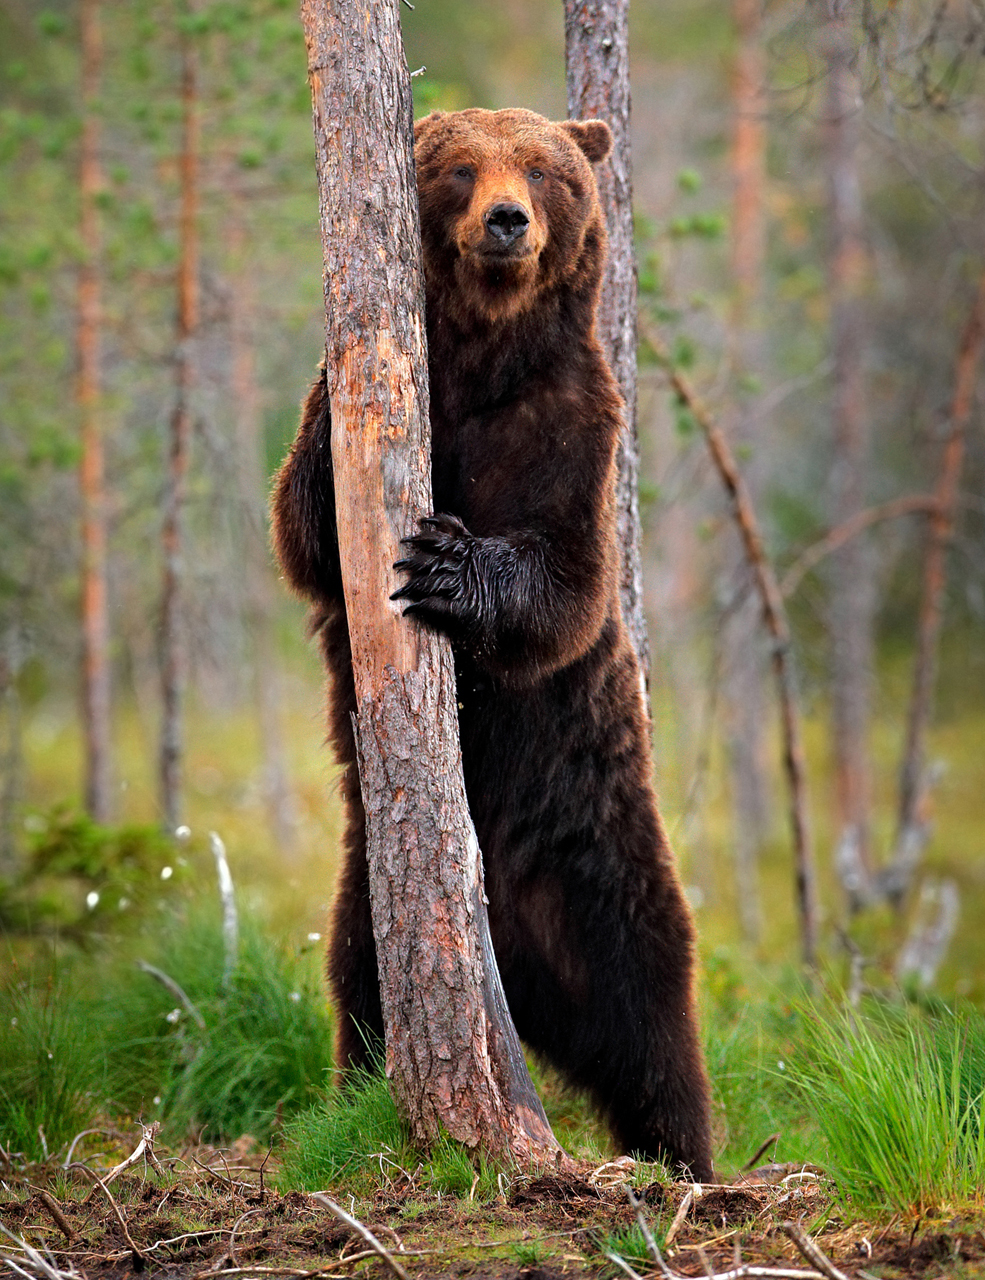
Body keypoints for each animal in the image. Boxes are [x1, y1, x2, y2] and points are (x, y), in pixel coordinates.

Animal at [271, 107, 714, 1180]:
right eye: (463, 168)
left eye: (545, 171)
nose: (507, 222)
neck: (482, 358)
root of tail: (515, 978)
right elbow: (306, 527)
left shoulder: (575, 424)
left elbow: (566, 584)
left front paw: (444, 563)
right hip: (372, 906)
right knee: (360, 998)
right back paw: (362, 1092)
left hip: (603, 871)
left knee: (655, 1028)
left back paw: (685, 1161)